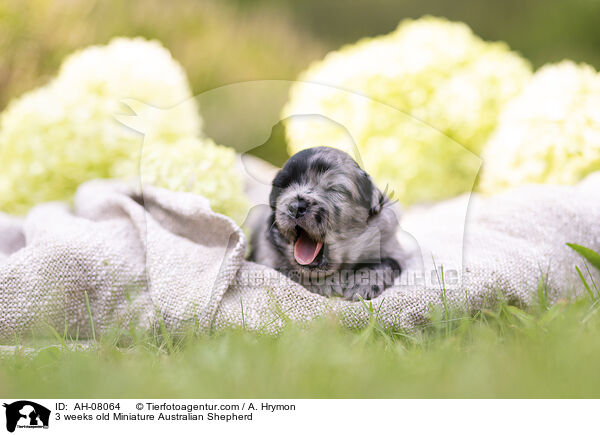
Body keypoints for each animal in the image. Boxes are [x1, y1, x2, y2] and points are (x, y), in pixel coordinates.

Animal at [250, 146, 404, 300]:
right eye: (283, 186)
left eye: (333, 189)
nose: (295, 207)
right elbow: (292, 270)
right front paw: (328, 283)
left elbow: (384, 264)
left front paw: (362, 285)